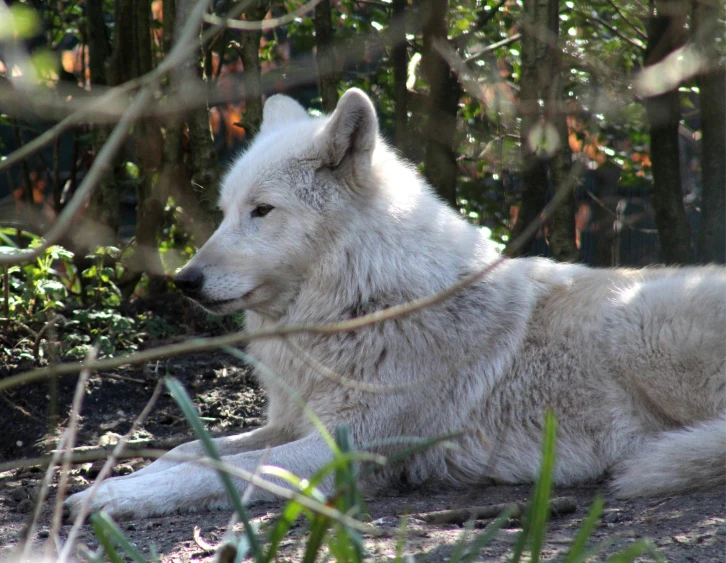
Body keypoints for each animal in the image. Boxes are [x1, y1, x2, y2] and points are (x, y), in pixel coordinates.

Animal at [65, 87, 724, 520]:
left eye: (262, 211)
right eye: (226, 212)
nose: (185, 280)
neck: (363, 305)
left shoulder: (342, 446)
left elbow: (217, 468)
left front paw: (105, 497)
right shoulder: (294, 422)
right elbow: (184, 450)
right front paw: (116, 480)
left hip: (635, 324)